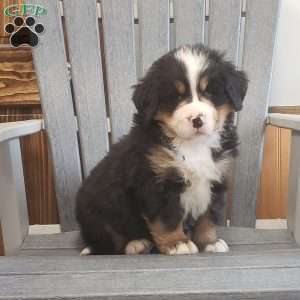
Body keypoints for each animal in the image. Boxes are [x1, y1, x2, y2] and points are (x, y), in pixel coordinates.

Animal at [76, 44, 247, 255]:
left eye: (209, 92)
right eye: (176, 96)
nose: (197, 120)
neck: (193, 146)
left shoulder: (217, 178)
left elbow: (208, 217)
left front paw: (209, 242)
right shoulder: (156, 182)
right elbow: (167, 219)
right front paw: (178, 243)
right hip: (99, 212)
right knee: (109, 241)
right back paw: (135, 244)